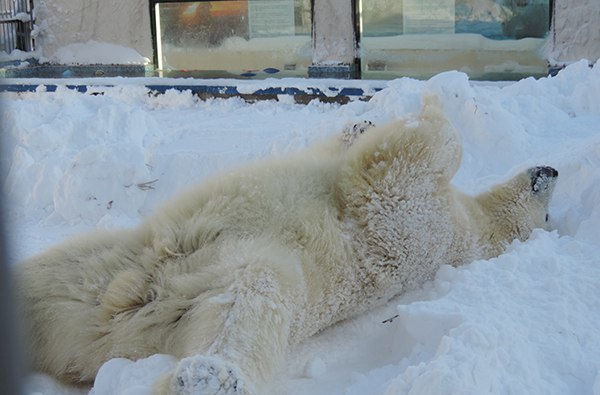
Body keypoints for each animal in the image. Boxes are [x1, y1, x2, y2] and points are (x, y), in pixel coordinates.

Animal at [12, 97, 556, 394]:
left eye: (549, 217)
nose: (550, 169)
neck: (471, 232)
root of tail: (113, 333)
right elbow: (347, 156)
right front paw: (359, 124)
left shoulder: (424, 225)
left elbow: (403, 167)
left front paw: (429, 105)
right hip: (95, 266)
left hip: (215, 279)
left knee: (248, 302)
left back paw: (210, 378)